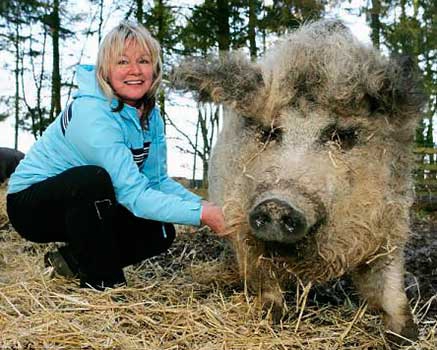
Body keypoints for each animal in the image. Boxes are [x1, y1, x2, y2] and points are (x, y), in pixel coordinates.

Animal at [172, 20, 424, 344]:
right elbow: (262, 278)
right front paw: (271, 318)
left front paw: (407, 335)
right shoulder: (239, 223)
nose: (277, 203)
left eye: (342, 136)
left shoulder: (391, 226)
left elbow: (390, 285)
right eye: (269, 132)